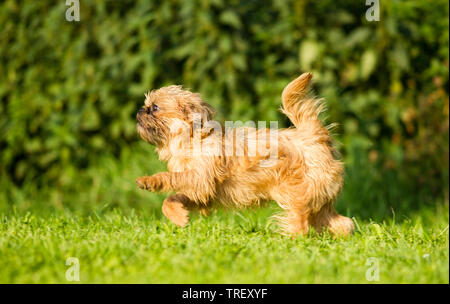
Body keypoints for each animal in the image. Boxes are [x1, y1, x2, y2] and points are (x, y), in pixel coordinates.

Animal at [135, 72, 354, 236]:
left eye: (154, 108)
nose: (140, 111)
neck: (194, 138)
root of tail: (314, 135)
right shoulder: (202, 191)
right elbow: (171, 199)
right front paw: (179, 216)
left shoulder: (200, 178)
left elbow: (169, 177)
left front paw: (149, 181)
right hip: (320, 202)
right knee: (343, 223)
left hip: (298, 194)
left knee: (300, 223)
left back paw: (291, 241)